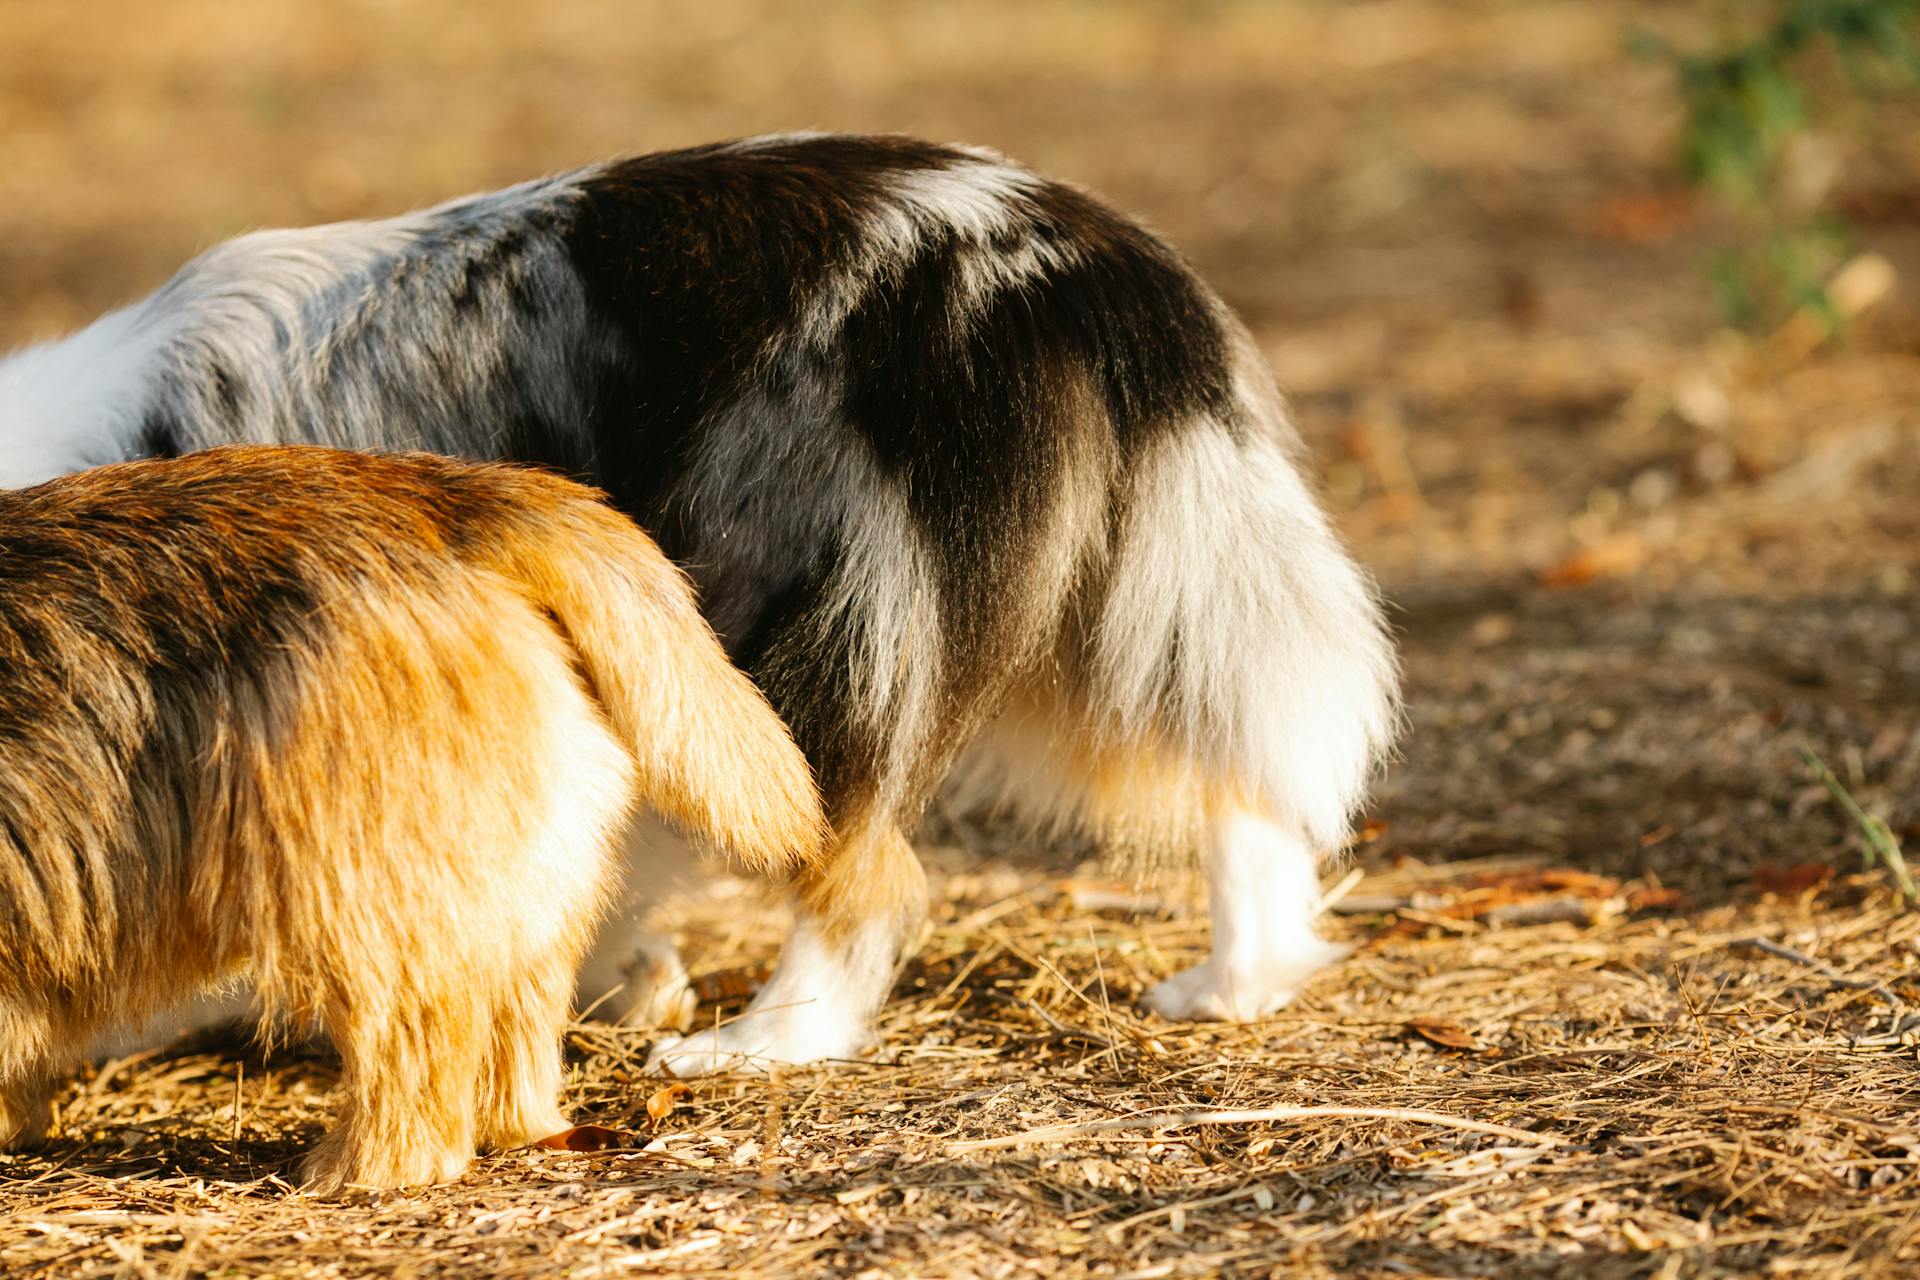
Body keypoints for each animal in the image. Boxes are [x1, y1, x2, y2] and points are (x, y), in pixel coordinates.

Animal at [0, 132, 1397, 1074]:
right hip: (1145, 588)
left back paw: (764, 1041)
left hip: (800, 631)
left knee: (862, 869)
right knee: (1247, 785)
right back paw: (1235, 982)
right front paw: (618, 972)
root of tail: (1065, 258)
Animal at [0, 449, 817, 1189]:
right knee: (516, 1011)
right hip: (525, 868)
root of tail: (456, 495)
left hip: (360, 883)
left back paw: (361, 1169)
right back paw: (516, 1123)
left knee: (412, 1040)